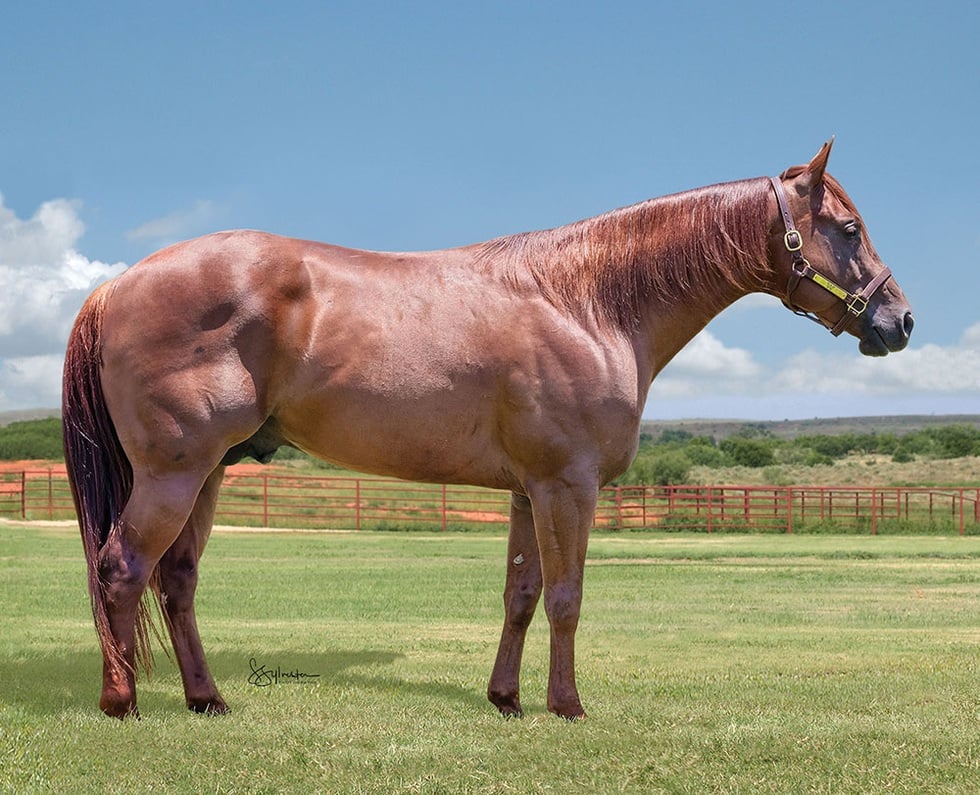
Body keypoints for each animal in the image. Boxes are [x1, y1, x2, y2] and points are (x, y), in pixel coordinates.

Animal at [62, 140, 913, 719]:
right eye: (846, 228)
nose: (900, 320)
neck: (586, 302)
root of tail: (118, 284)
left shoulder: (526, 491)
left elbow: (521, 593)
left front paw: (506, 697)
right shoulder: (569, 486)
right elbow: (567, 595)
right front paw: (567, 705)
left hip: (208, 471)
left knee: (175, 580)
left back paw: (206, 698)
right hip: (173, 472)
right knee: (121, 569)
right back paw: (121, 701)